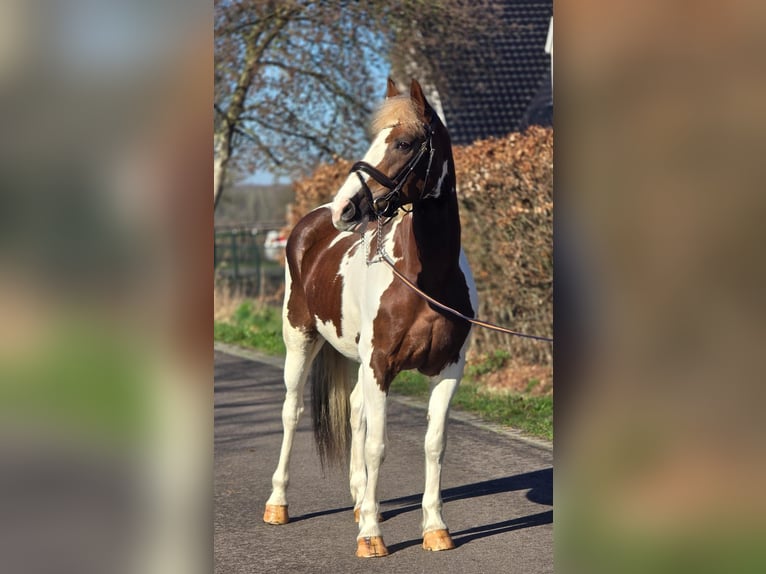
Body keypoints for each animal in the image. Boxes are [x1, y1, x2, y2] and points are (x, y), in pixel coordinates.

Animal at [262, 78, 478, 558]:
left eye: (403, 143)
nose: (345, 209)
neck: (425, 279)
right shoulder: (380, 365)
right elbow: (378, 445)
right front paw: (372, 536)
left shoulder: (448, 367)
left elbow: (434, 444)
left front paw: (435, 529)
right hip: (300, 341)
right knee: (291, 413)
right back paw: (278, 505)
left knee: (356, 413)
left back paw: (362, 501)